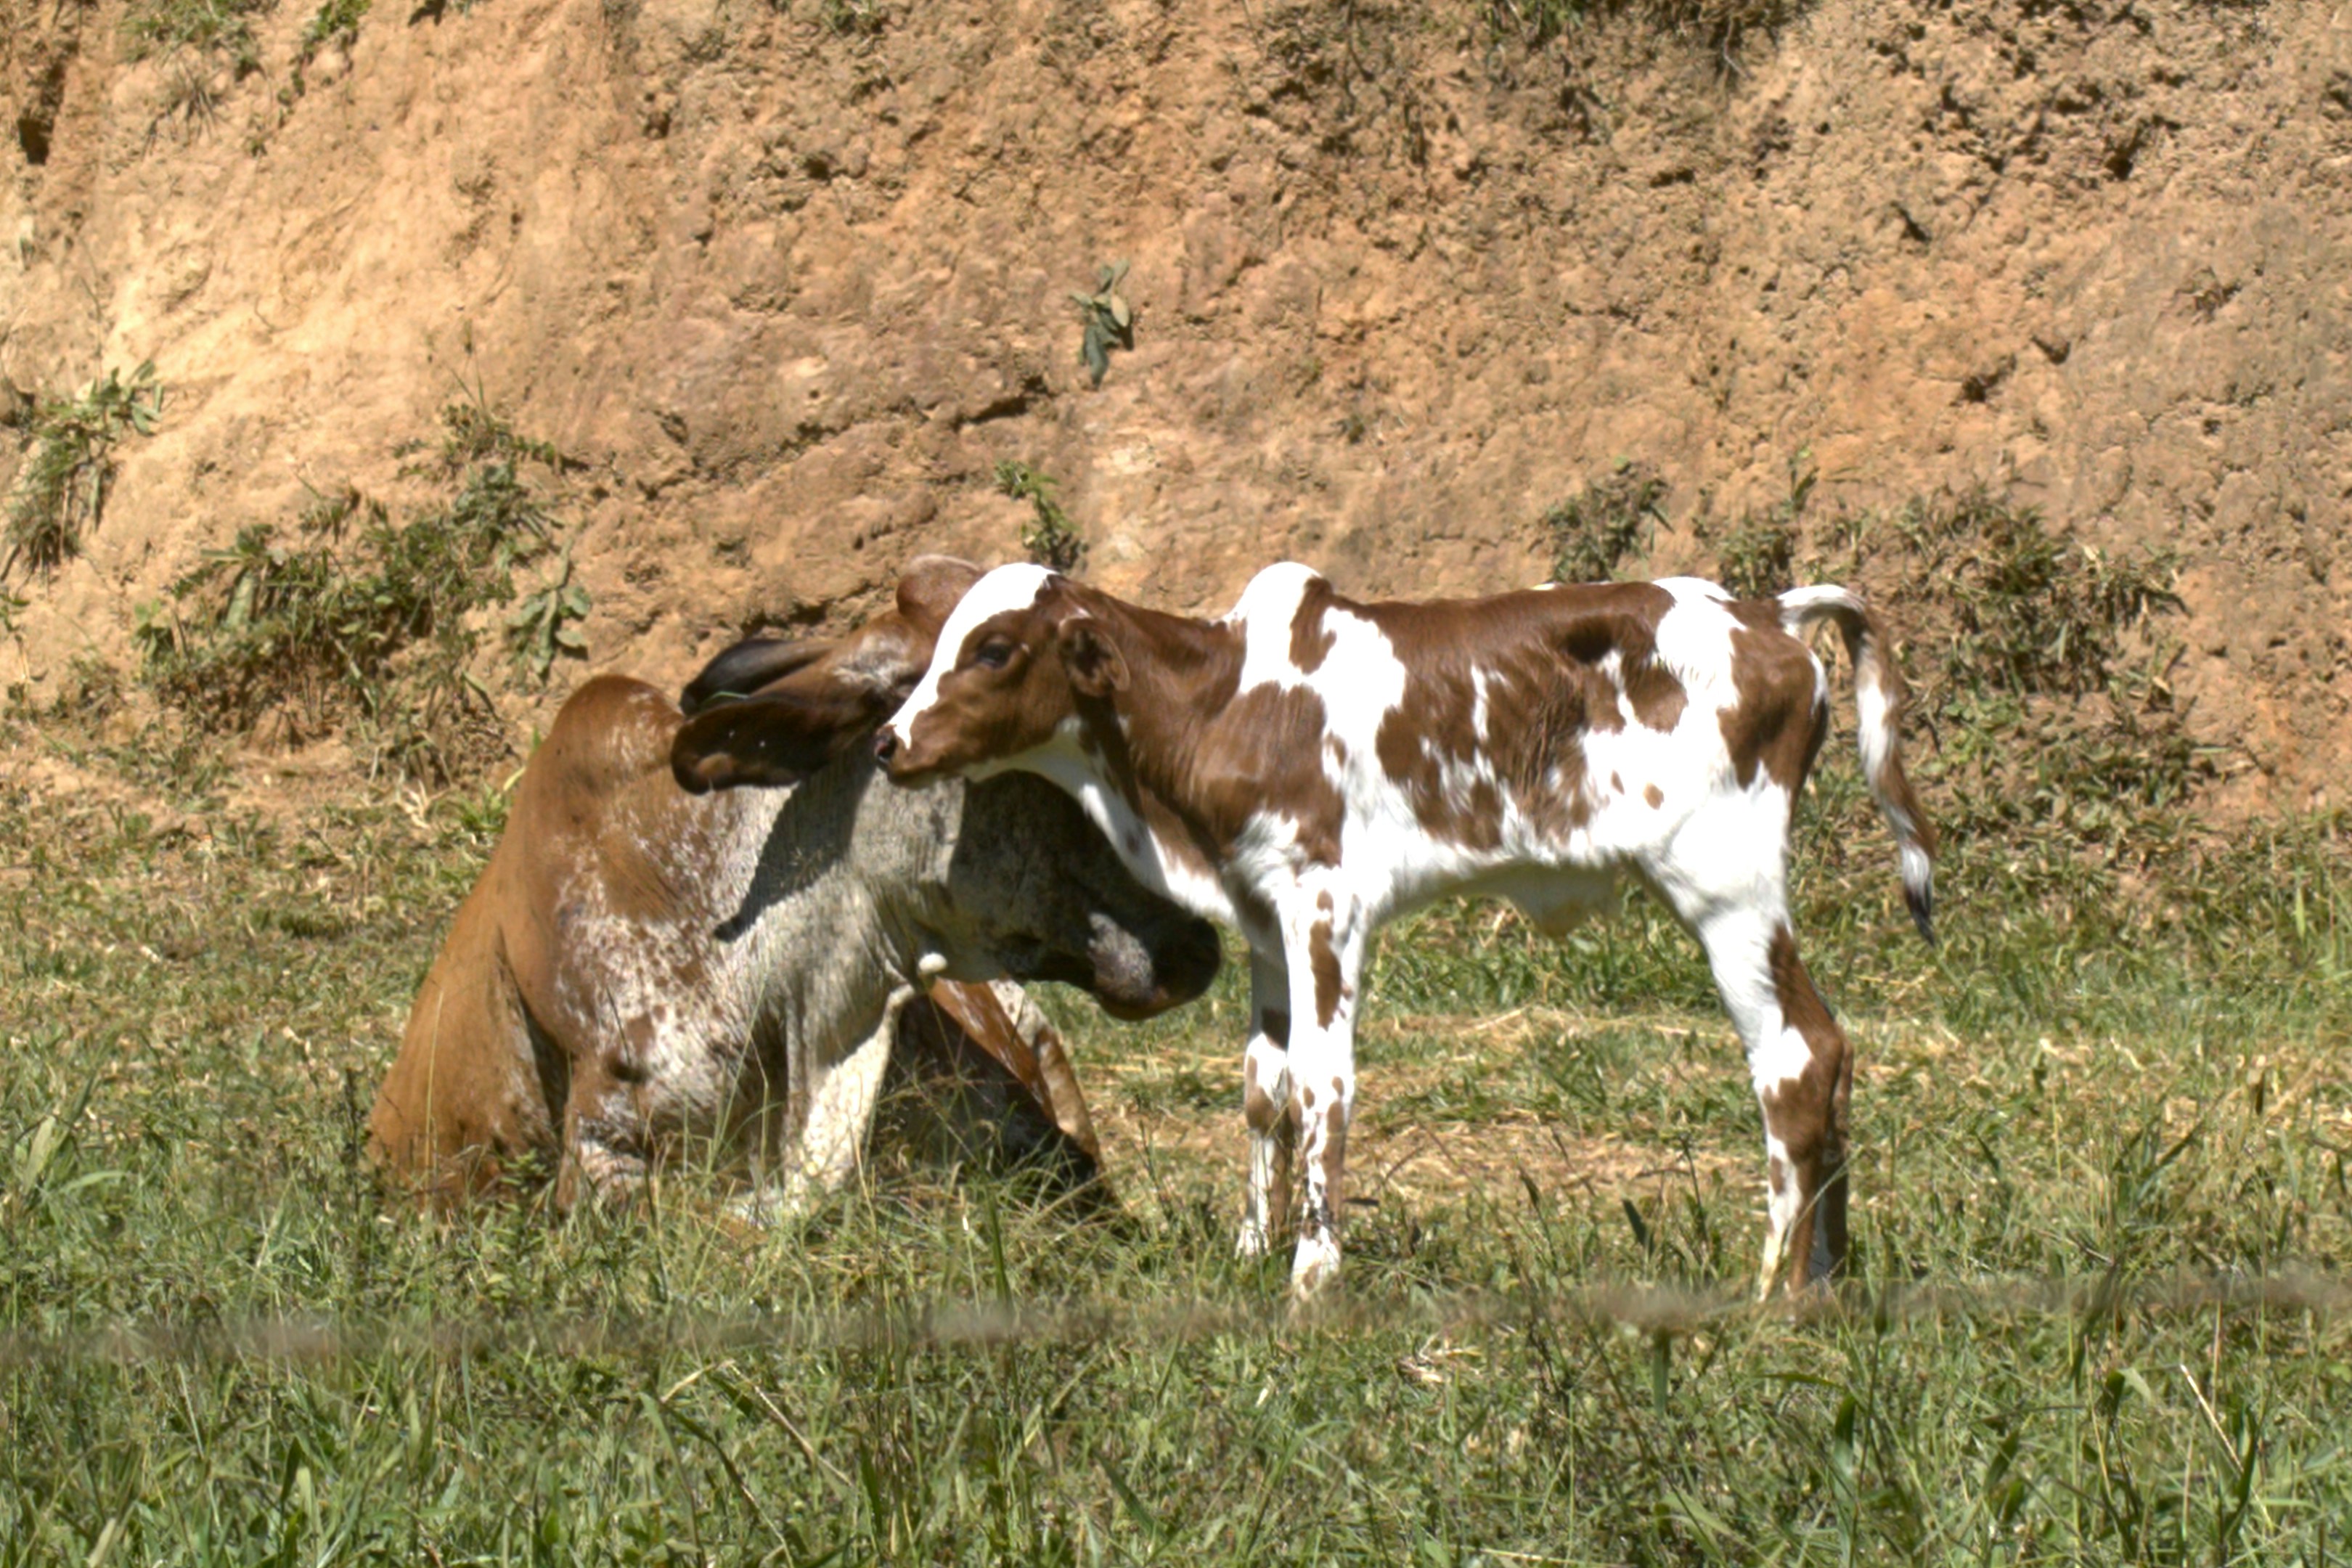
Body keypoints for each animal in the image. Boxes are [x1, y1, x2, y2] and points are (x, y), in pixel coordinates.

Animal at [815, 562, 1935, 1302]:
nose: (891, 742)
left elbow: (1325, 1083)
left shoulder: (1328, 904)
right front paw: (1250, 1254)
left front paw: (1313, 1277)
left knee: (1795, 1058)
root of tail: (1767, 610)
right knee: (1831, 1052)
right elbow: (1265, 1087)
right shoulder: (1263, 914)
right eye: (941, 644)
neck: (1220, 705)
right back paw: (1826, 1289)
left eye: (997, 649)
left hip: (1725, 885)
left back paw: (1768, 1300)